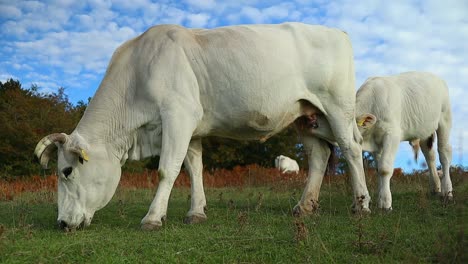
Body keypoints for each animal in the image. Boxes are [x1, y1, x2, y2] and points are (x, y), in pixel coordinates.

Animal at [33, 22, 370, 231]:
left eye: (67, 171)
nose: (62, 223)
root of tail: (336, 31)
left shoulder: (178, 114)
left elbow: (167, 169)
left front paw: (153, 217)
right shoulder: (189, 126)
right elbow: (193, 168)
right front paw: (196, 212)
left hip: (338, 106)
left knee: (352, 149)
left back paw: (362, 205)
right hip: (307, 116)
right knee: (319, 156)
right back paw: (305, 206)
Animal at [308, 71, 452, 210]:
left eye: (321, 121)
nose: (307, 121)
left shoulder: (392, 134)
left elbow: (384, 168)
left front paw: (385, 203)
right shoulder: (376, 143)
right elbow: (378, 169)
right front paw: (379, 198)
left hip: (444, 119)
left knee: (444, 153)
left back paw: (447, 191)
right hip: (425, 131)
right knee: (430, 155)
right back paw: (435, 188)